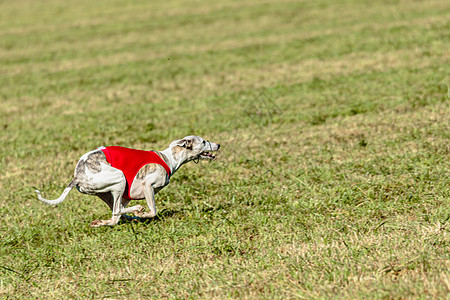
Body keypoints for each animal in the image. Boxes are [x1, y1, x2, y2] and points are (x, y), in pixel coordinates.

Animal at [35, 136, 220, 227]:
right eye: (204, 141)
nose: (218, 145)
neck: (168, 159)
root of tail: (78, 175)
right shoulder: (147, 185)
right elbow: (153, 211)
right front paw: (143, 212)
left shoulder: (126, 195)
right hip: (119, 179)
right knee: (117, 211)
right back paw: (137, 210)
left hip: (106, 191)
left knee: (115, 214)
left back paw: (108, 221)